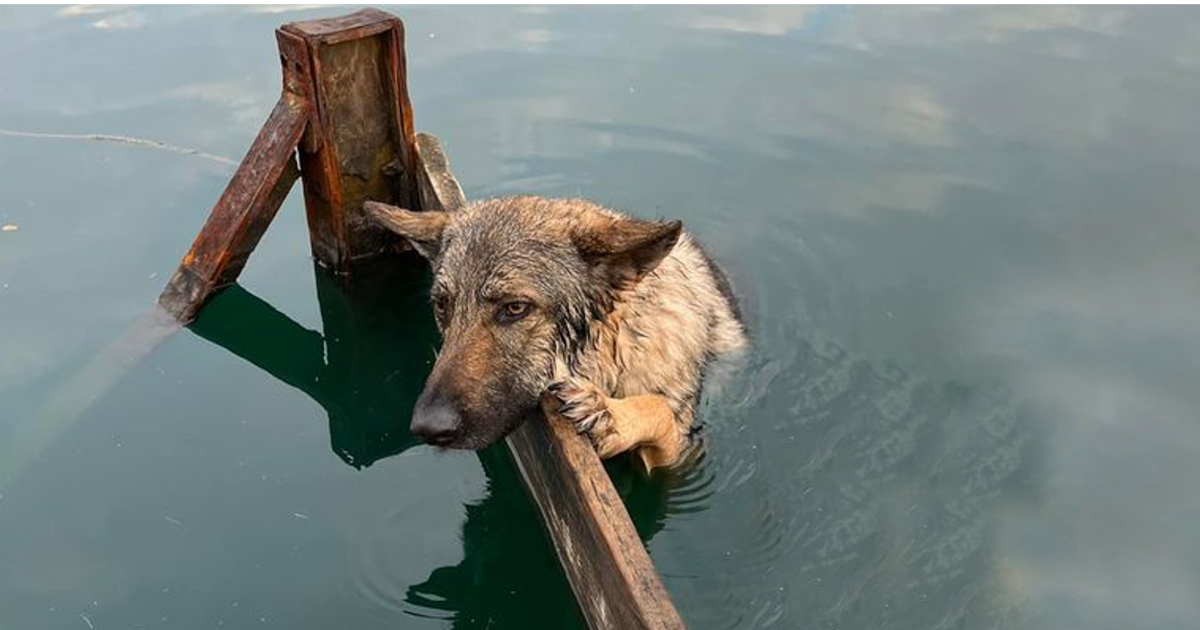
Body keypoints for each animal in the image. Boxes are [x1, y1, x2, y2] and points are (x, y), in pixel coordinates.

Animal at [364, 194, 744, 468]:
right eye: (443, 305)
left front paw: (610, 415)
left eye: (515, 308)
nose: (427, 428)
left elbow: (659, 409)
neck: (615, 347)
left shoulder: (681, 457)